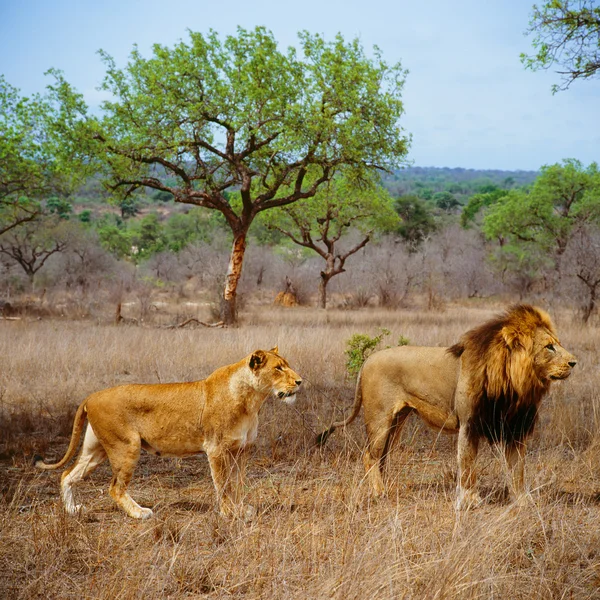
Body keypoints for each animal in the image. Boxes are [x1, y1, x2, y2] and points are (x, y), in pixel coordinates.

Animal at [35, 350, 302, 516]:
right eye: (279, 368)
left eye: (288, 365)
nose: (300, 381)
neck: (253, 400)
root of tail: (91, 397)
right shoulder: (216, 449)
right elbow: (223, 485)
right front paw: (229, 513)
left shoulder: (242, 451)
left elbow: (238, 483)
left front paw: (241, 509)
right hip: (126, 446)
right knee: (115, 487)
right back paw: (139, 513)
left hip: (96, 449)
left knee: (67, 475)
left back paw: (73, 510)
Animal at [318, 308, 576, 508]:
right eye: (549, 347)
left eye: (558, 345)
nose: (574, 362)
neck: (515, 384)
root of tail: (367, 360)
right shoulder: (469, 424)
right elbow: (468, 464)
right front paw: (470, 501)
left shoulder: (515, 427)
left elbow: (517, 468)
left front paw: (522, 500)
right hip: (379, 418)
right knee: (369, 455)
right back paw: (379, 492)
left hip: (397, 420)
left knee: (382, 456)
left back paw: (385, 487)